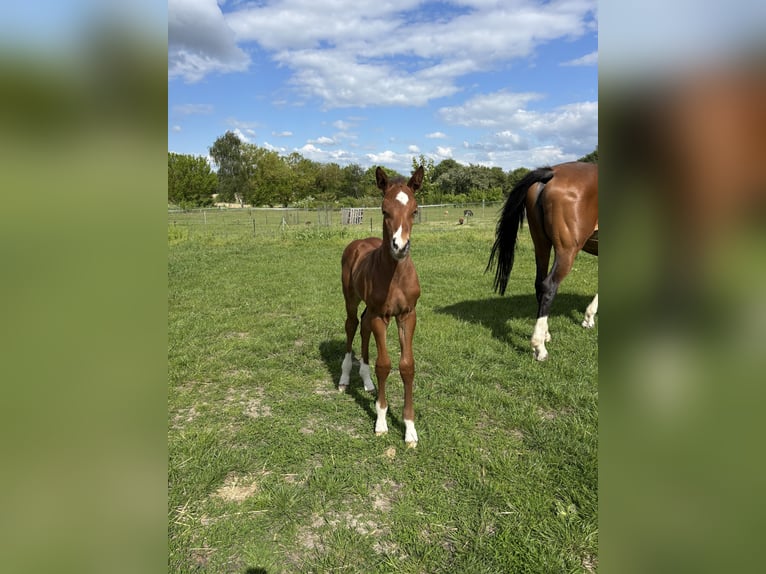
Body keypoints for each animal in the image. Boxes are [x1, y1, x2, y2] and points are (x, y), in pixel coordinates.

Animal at [338, 166, 424, 447]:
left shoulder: (407, 315)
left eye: (414, 210)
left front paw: (409, 429)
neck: (395, 275)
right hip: (351, 298)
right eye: (385, 210)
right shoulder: (381, 316)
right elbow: (384, 365)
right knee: (352, 324)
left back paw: (366, 383)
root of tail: (359, 242)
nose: (400, 246)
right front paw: (381, 420)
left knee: (363, 328)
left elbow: (407, 366)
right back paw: (344, 379)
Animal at [487, 161, 598, 361]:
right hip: (566, 251)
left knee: (539, 284)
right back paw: (539, 346)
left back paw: (545, 334)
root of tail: (551, 173)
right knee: (549, 286)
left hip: (541, 244)